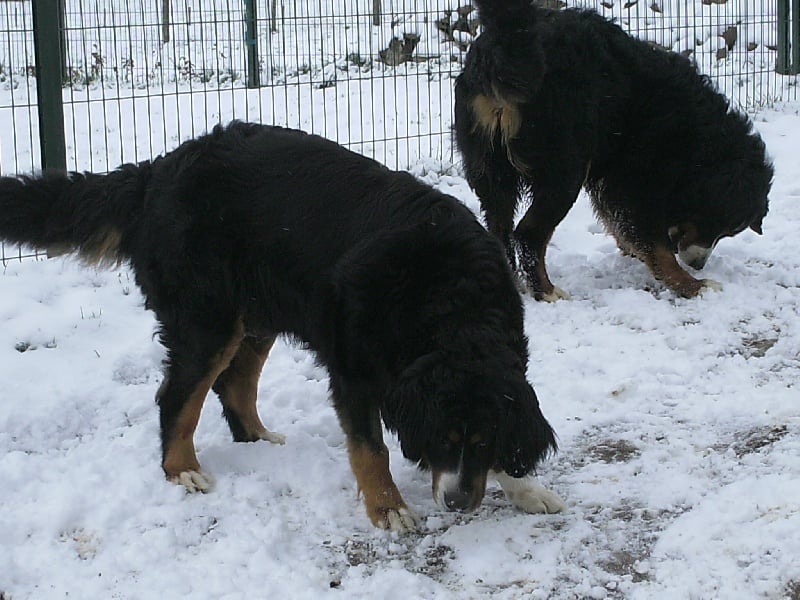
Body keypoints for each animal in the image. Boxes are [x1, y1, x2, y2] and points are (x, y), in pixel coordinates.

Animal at [0, 122, 564, 528]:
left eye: (483, 442)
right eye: (442, 438)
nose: (458, 503)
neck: (451, 302)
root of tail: (157, 172)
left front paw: (525, 489)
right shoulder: (353, 372)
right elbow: (371, 448)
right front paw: (388, 508)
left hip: (257, 313)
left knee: (234, 384)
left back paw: (257, 437)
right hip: (208, 319)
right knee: (176, 397)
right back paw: (183, 469)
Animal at [456, 0, 776, 300]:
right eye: (718, 223)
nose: (698, 264)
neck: (697, 138)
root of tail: (505, 46)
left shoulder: (611, 179)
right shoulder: (636, 183)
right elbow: (657, 245)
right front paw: (692, 285)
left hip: (493, 174)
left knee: (499, 231)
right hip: (563, 173)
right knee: (528, 235)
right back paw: (546, 291)